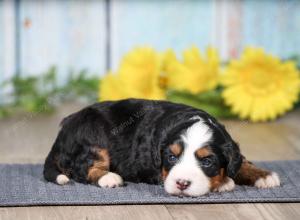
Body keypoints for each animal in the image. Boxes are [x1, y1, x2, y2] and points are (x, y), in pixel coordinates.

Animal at [43, 99, 280, 197]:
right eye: (171, 158)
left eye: (207, 161)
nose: (182, 183)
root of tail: (61, 134)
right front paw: (224, 182)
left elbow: (240, 162)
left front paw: (263, 175)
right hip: (93, 134)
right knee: (83, 168)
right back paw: (109, 178)